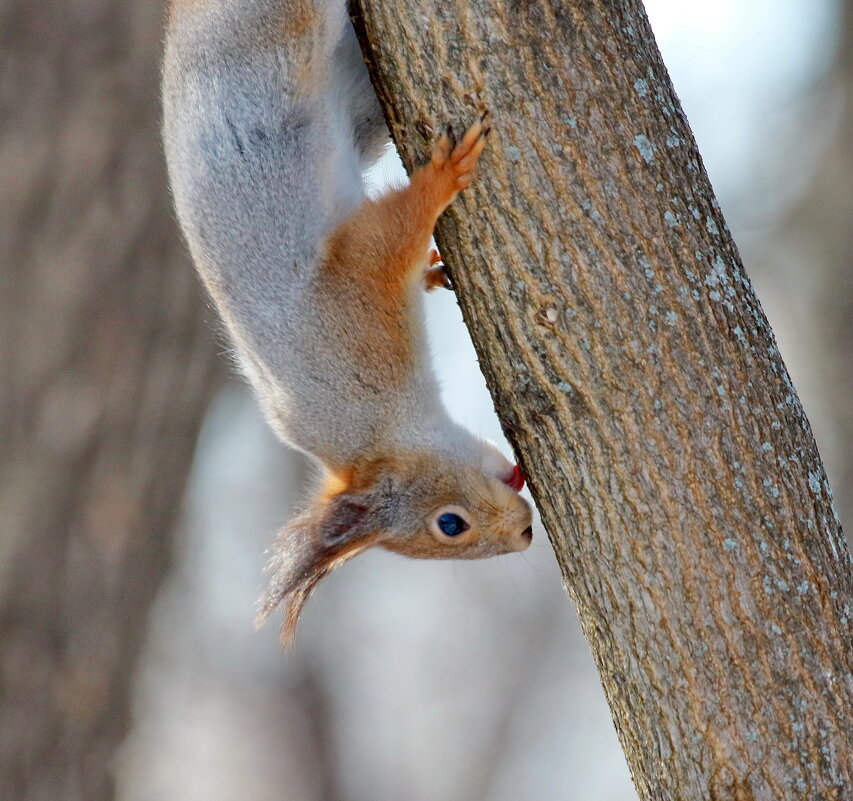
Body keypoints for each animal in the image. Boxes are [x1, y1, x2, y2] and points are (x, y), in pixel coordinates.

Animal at [162, 0, 528, 640]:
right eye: (451, 527)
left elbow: (390, 232)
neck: (372, 434)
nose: (528, 534)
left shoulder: (350, 296)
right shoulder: (359, 285)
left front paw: (439, 191)